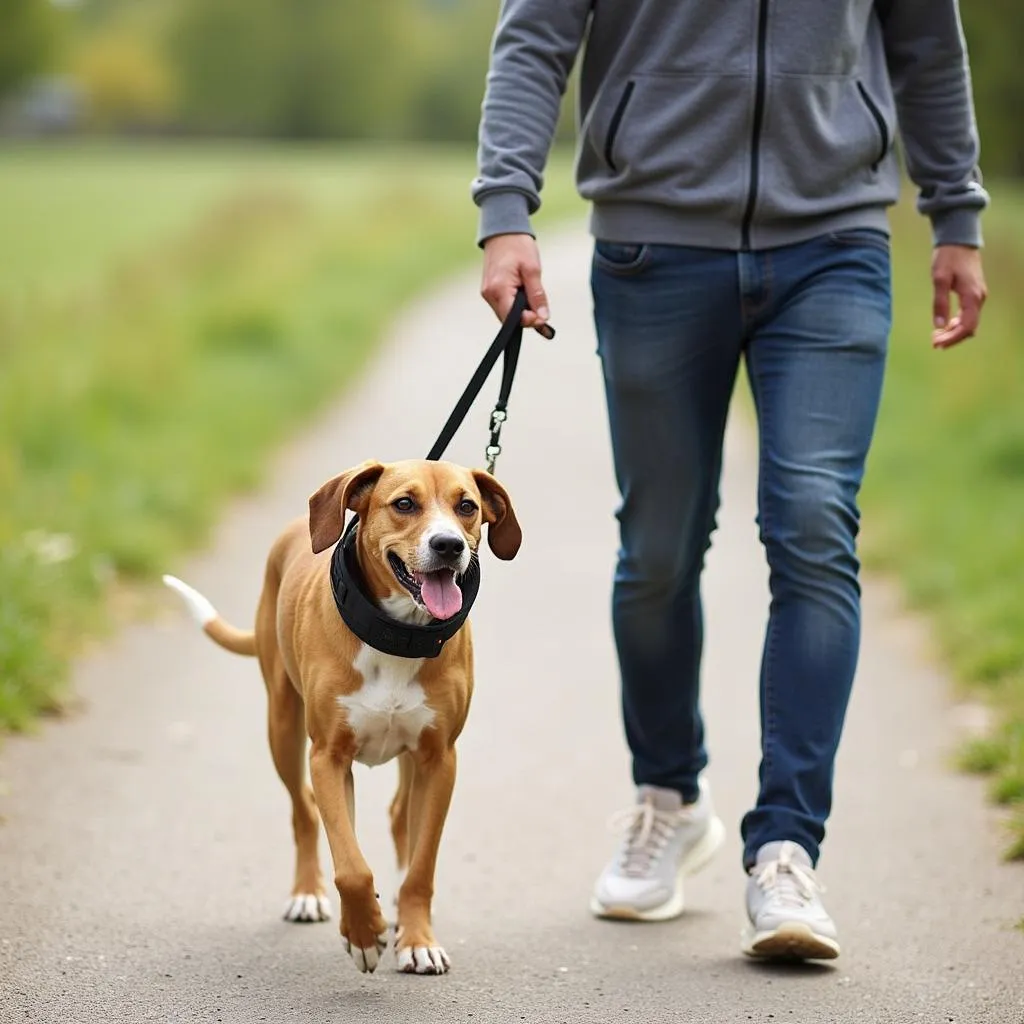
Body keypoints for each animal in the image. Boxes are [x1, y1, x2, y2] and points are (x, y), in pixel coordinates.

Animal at [168, 458, 524, 974]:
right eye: (404, 503)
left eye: (467, 507)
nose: (449, 545)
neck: (398, 634)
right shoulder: (328, 758)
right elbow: (351, 864)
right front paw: (362, 932)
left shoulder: (439, 759)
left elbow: (422, 865)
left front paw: (417, 939)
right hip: (283, 728)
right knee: (303, 809)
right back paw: (308, 895)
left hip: (410, 757)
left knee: (398, 816)